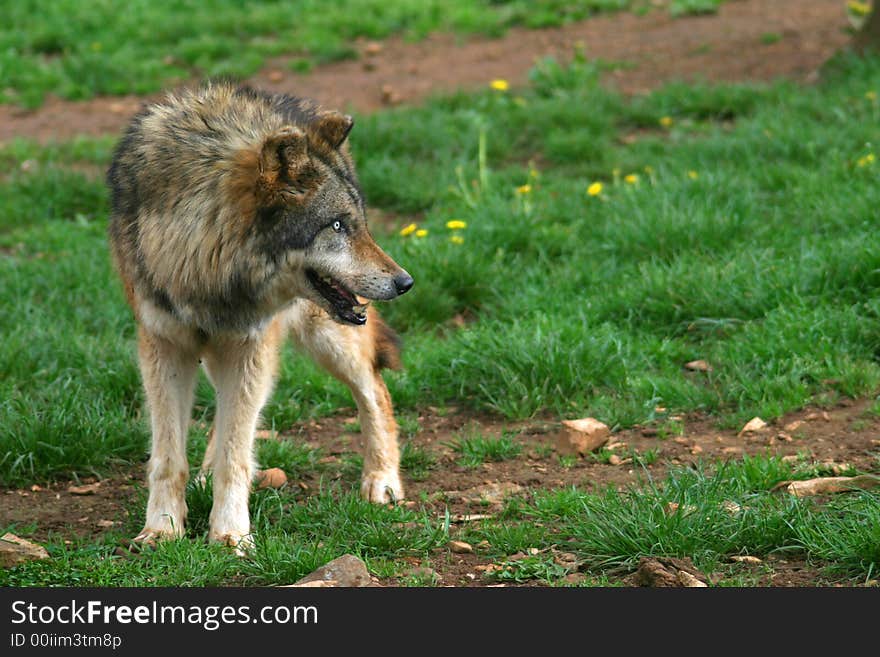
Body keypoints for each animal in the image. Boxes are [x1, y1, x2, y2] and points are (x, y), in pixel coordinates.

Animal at [105, 80, 412, 552]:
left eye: (357, 223)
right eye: (337, 226)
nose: (405, 282)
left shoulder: (250, 343)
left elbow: (236, 453)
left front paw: (231, 535)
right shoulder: (164, 347)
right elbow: (169, 455)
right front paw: (163, 529)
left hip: (326, 339)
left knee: (375, 391)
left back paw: (382, 481)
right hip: (222, 353)